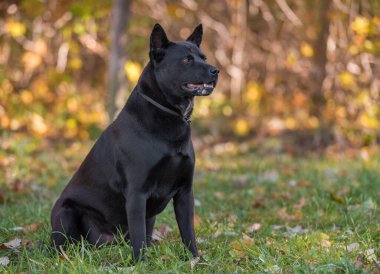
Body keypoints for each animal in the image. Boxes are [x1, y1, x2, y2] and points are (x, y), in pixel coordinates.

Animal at [49, 24, 220, 262]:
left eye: (203, 57)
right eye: (186, 60)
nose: (216, 71)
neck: (167, 114)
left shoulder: (185, 192)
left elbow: (188, 232)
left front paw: (195, 260)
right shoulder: (137, 194)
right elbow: (139, 236)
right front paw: (140, 264)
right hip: (66, 212)